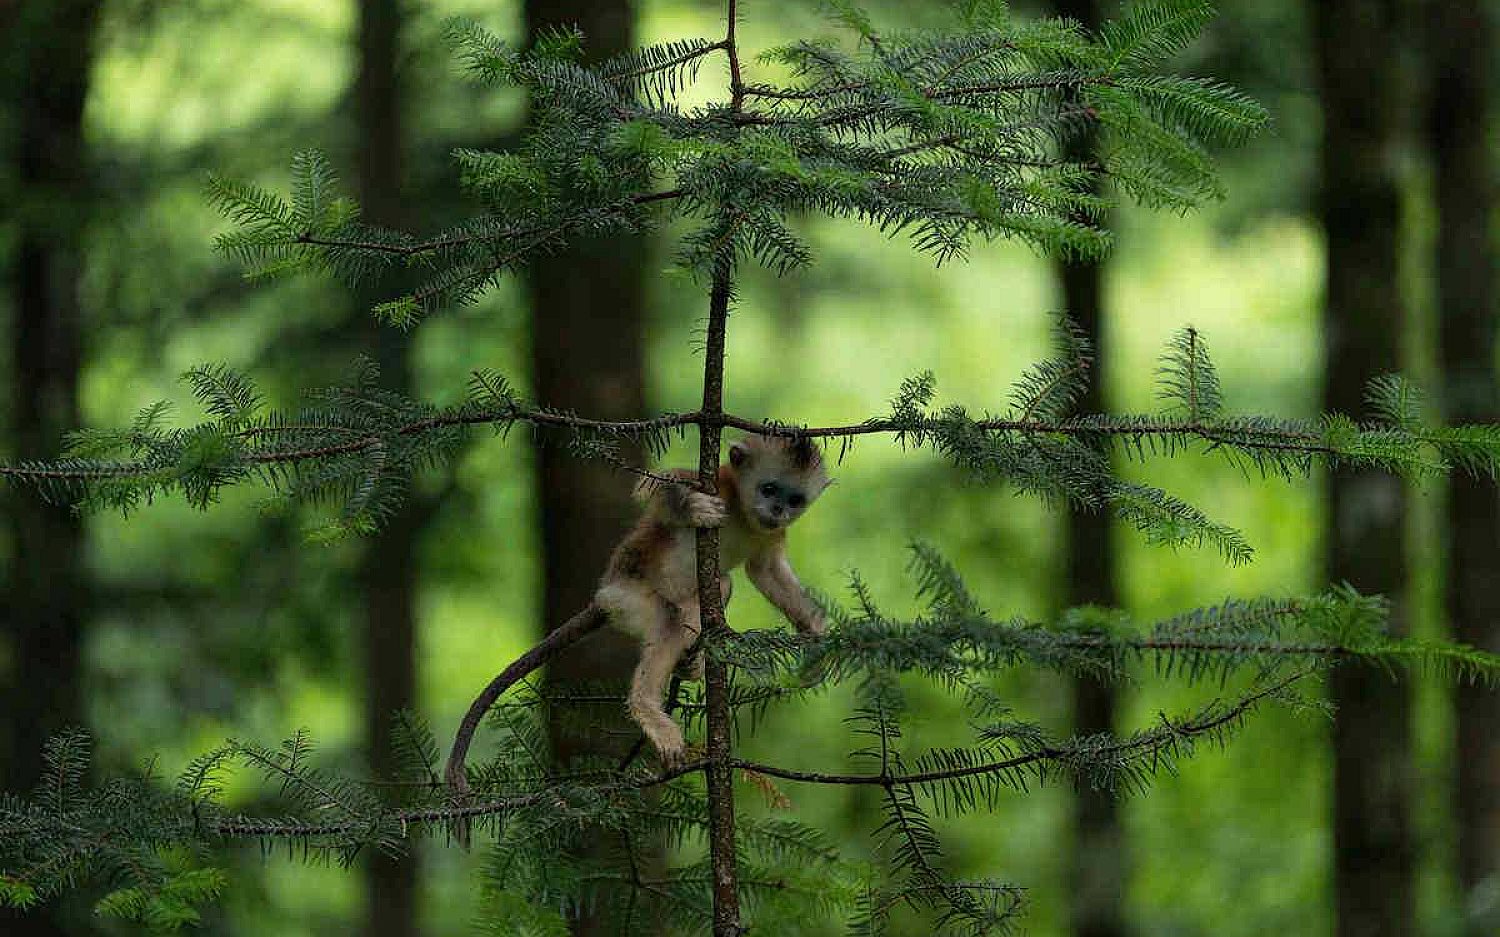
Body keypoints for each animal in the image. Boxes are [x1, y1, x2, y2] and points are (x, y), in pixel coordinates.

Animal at [596, 433, 831, 766]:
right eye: (769, 489)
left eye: (795, 500)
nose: (778, 510)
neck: (743, 515)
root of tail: (604, 594)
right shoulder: (718, 484)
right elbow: (653, 485)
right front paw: (693, 508)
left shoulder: (772, 534)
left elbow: (766, 571)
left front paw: (816, 637)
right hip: (628, 597)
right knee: (670, 619)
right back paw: (648, 709)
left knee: (721, 585)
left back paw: (688, 663)